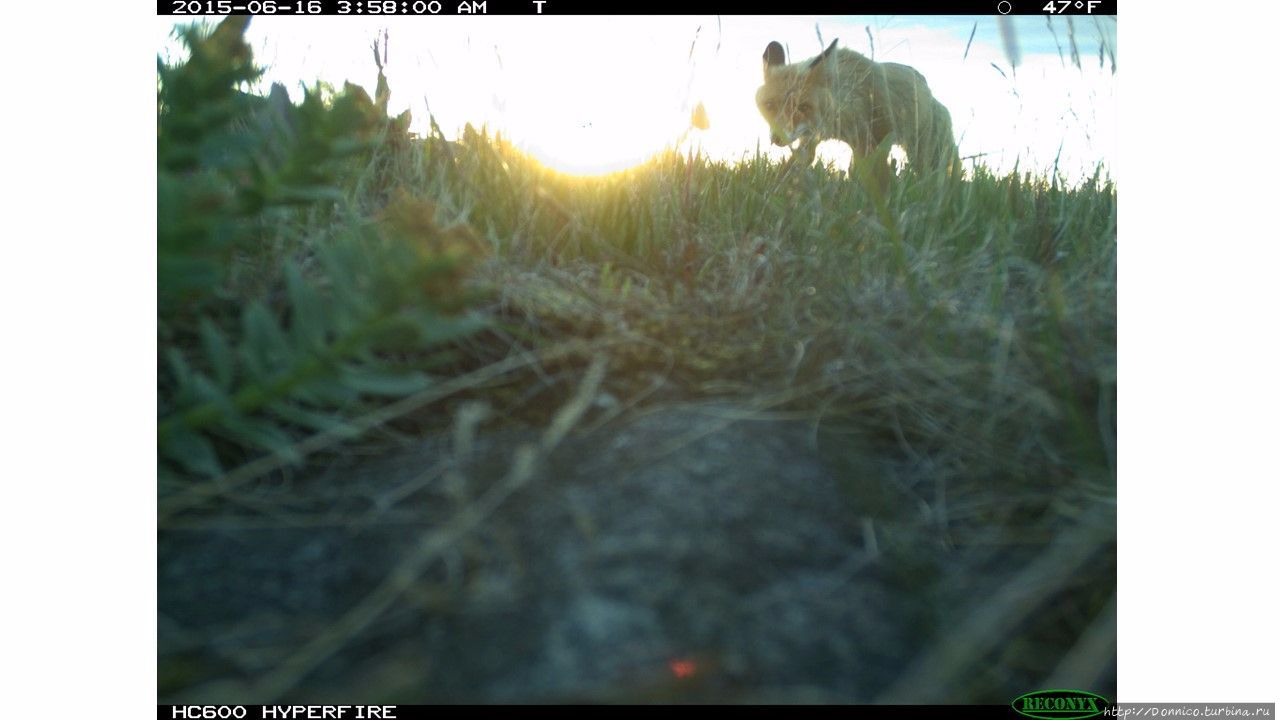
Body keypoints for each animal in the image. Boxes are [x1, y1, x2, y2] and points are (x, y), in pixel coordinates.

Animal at [752, 39, 957, 178]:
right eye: (769, 105)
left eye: (802, 106)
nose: (777, 139)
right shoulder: (812, 138)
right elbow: (797, 164)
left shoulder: (878, 138)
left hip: (923, 155)